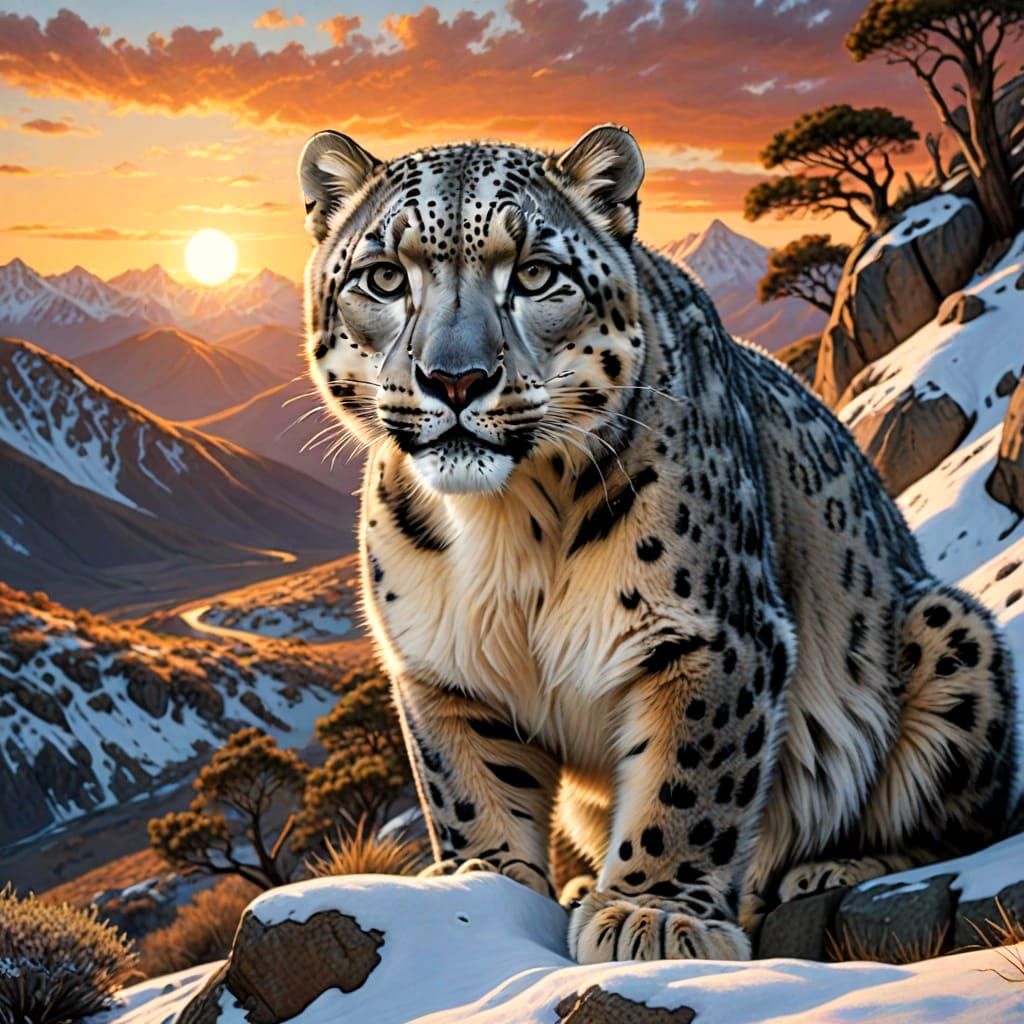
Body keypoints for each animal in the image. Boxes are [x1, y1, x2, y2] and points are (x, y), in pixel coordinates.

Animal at [297, 123, 1017, 963]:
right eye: (383, 277)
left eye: (535, 273)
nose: (455, 378)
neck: (504, 531)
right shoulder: (442, 665)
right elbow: (471, 788)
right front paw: (483, 885)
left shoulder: (710, 634)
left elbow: (687, 778)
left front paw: (655, 914)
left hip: (948, 632)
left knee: (965, 823)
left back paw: (829, 868)